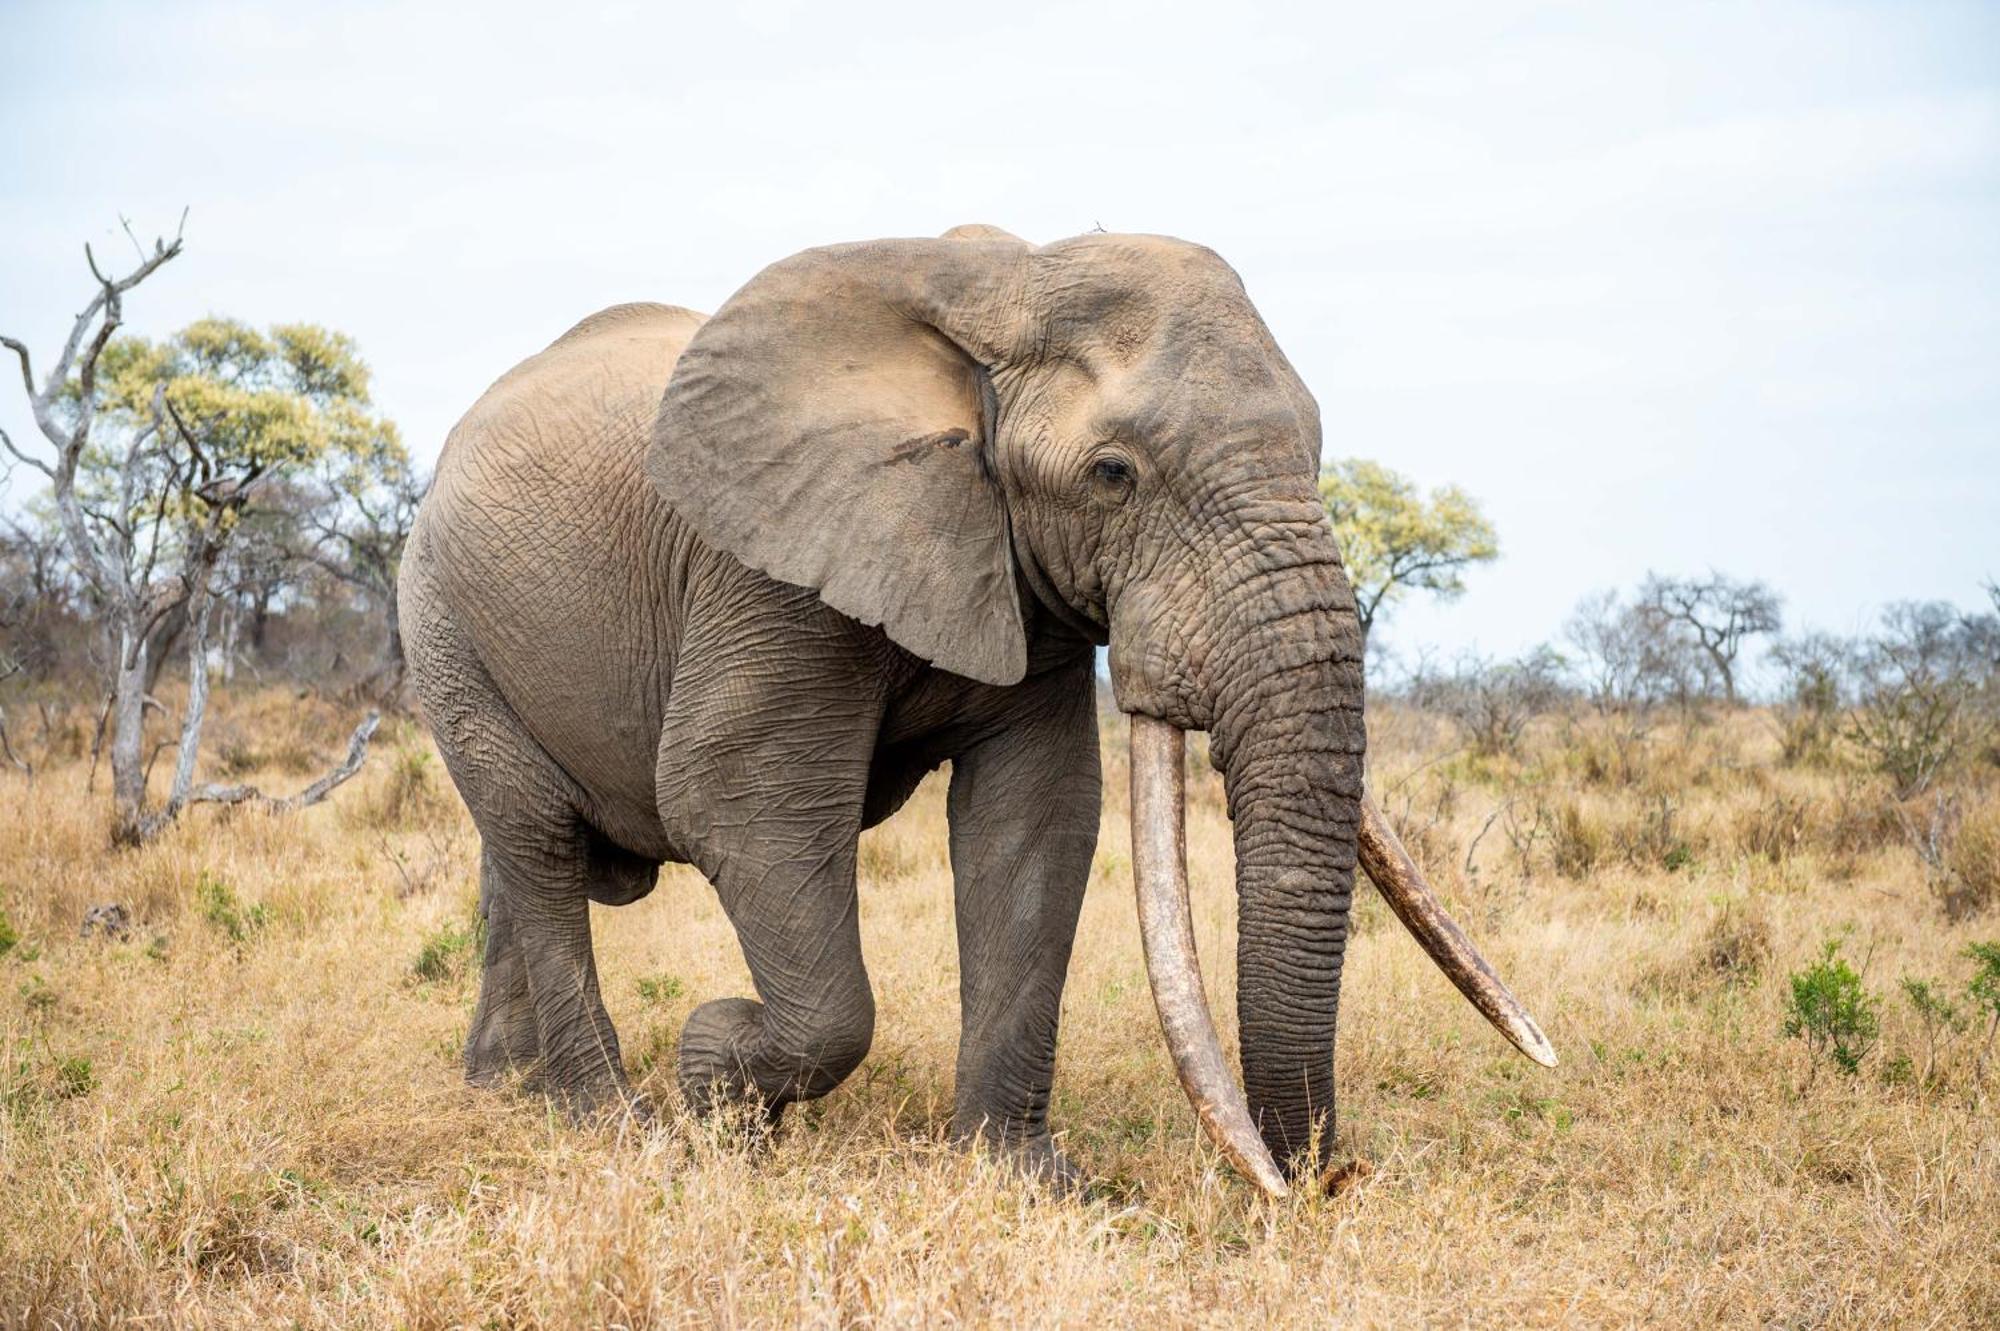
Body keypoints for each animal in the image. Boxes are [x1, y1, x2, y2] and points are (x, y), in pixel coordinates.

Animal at [398, 222, 1552, 1183]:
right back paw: (608, 1118)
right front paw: (715, 1071)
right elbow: (738, 801)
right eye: (1113, 473)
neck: (1006, 286)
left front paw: (1026, 1181)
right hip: (441, 619)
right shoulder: (764, 571)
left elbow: (1034, 817)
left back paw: (504, 1086)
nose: (1310, 1180)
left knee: (521, 857)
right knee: (540, 842)